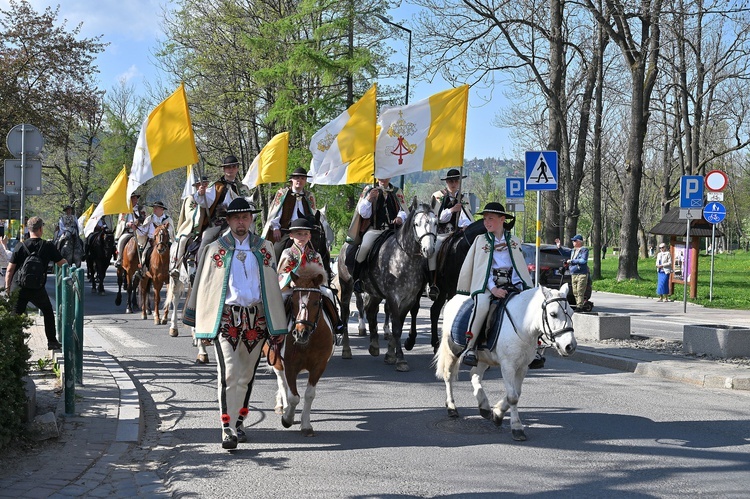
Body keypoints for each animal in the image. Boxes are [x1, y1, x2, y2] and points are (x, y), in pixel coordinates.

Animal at [266, 264, 334, 436]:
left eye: (316, 302)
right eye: (294, 301)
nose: (300, 333)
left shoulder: (319, 366)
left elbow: (309, 395)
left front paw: (306, 425)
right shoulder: (290, 365)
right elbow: (293, 397)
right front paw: (287, 418)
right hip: (276, 361)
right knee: (282, 383)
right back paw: (283, 407)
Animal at [438, 284, 580, 444]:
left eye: (571, 312)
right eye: (553, 314)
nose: (570, 346)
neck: (523, 324)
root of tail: (454, 298)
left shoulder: (522, 367)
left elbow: (516, 392)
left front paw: (497, 413)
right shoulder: (508, 366)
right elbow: (513, 396)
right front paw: (517, 428)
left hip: (483, 357)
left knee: (474, 375)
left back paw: (484, 406)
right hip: (452, 351)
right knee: (449, 376)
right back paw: (451, 407)